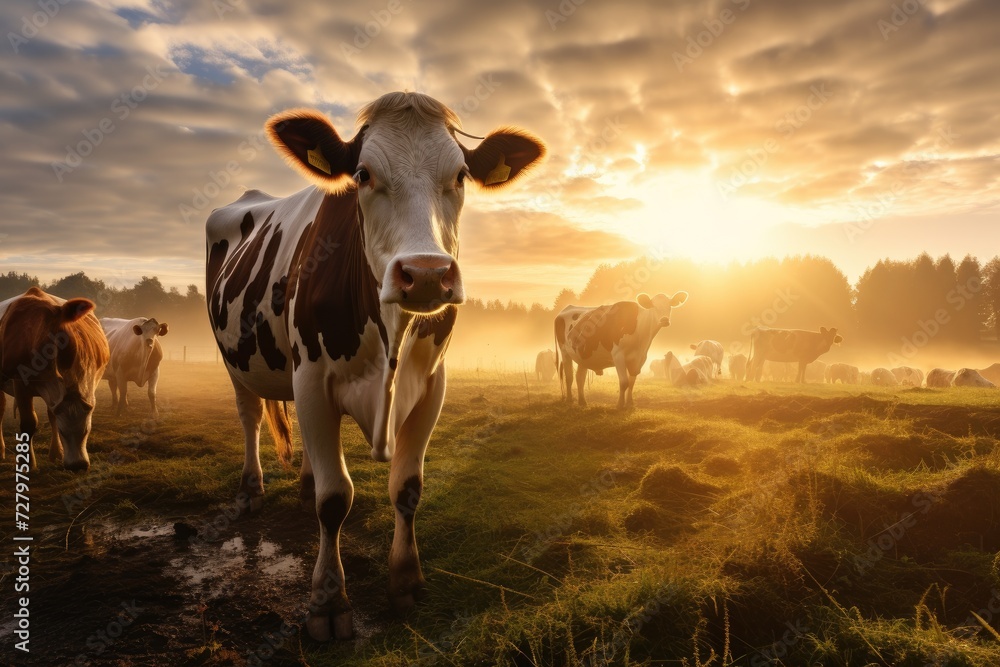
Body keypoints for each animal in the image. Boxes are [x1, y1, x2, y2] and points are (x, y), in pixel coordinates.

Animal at [0, 287, 109, 471]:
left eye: (87, 431)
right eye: (63, 432)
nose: (77, 465)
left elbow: (55, 417)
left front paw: (57, 453)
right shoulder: (20, 384)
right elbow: (29, 423)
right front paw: (27, 463)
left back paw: (56, 453)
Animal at [205, 92, 544, 640]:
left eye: (461, 176)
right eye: (362, 175)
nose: (425, 274)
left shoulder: (431, 385)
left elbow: (407, 488)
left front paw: (406, 581)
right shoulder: (312, 378)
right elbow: (334, 500)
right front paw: (328, 602)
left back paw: (302, 481)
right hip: (236, 362)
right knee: (251, 418)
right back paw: (251, 489)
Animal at [554, 292, 688, 408]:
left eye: (670, 305)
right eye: (653, 306)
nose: (664, 320)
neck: (640, 330)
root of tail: (564, 310)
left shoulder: (640, 358)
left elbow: (632, 382)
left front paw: (630, 403)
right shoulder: (618, 355)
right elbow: (624, 382)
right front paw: (620, 404)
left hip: (583, 355)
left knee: (580, 378)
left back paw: (582, 402)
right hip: (564, 352)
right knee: (569, 376)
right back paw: (569, 399)